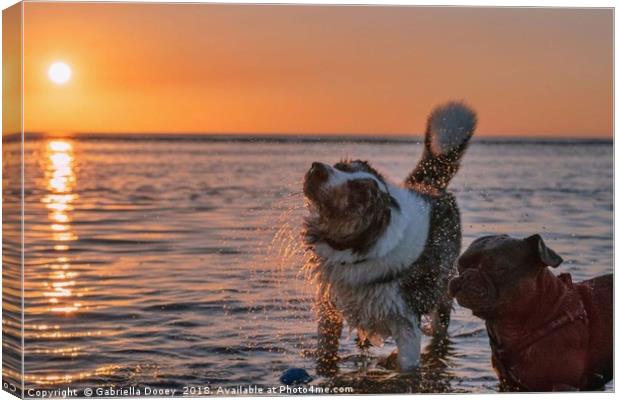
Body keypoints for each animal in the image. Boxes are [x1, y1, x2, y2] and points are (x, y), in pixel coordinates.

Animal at [302, 101, 478, 374]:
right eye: (341, 167)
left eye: (358, 191)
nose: (317, 168)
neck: (357, 251)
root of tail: (431, 186)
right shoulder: (329, 306)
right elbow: (325, 352)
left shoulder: (406, 321)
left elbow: (407, 365)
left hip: (443, 293)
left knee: (440, 325)